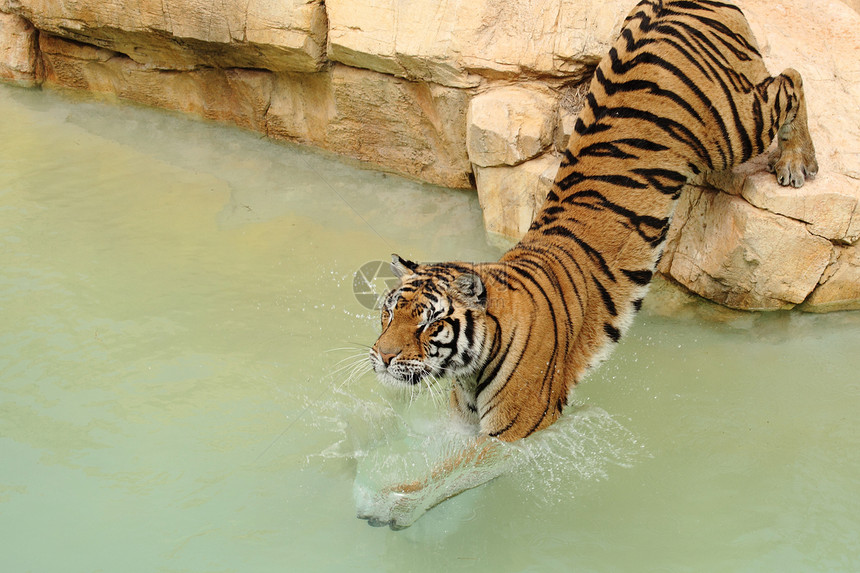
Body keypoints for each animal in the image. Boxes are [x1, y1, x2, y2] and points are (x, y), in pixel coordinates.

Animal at [360, 0, 816, 524]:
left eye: (429, 324)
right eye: (388, 313)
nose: (382, 357)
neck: (469, 366)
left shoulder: (516, 434)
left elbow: (450, 473)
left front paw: (393, 503)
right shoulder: (464, 421)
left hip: (733, 128)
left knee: (791, 79)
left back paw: (797, 163)